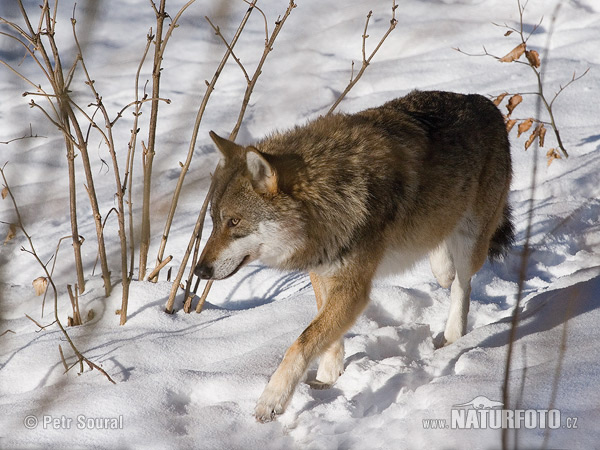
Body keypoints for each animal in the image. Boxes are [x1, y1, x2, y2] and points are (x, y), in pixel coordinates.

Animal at [195, 89, 512, 422]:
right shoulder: (322, 271)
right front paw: (327, 377)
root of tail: (486, 102)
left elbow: (301, 342)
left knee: (463, 286)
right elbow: (325, 335)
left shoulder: (352, 287)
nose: (199, 271)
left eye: (234, 222)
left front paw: (272, 399)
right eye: (214, 221)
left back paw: (452, 337)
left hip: (471, 242)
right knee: (442, 258)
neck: (329, 196)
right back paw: (442, 269)